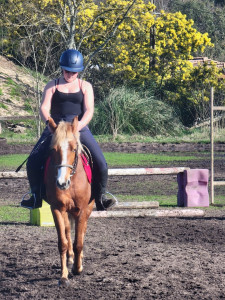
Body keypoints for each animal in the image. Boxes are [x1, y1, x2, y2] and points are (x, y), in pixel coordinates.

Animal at [45, 116, 94, 284]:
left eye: (73, 148)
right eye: (53, 150)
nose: (61, 183)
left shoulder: (83, 209)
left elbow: (79, 242)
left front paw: (77, 268)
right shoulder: (57, 209)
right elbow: (63, 243)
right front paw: (64, 275)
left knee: (83, 230)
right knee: (67, 230)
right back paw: (70, 258)